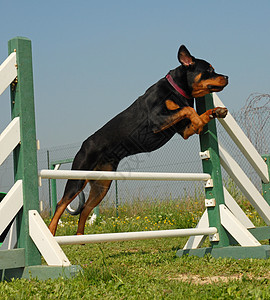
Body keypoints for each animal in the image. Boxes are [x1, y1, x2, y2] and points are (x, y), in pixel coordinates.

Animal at [48, 45, 228, 237]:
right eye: (209, 70)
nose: (227, 77)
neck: (177, 89)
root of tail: (84, 145)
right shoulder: (157, 119)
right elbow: (187, 109)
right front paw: (200, 120)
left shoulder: (184, 130)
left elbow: (195, 113)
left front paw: (216, 111)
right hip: (78, 177)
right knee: (61, 204)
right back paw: (51, 232)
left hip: (102, 186)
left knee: (85, 209)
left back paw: (80, 238)